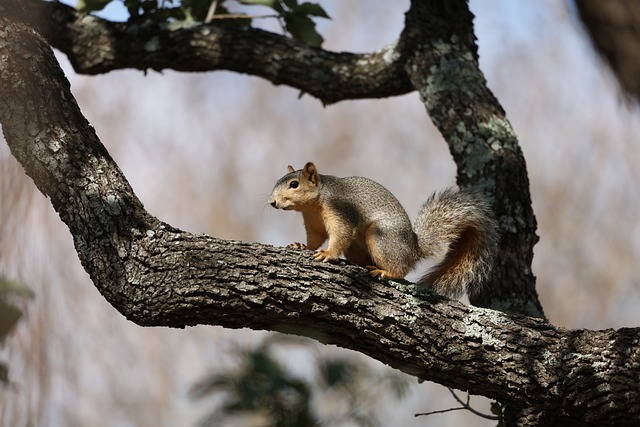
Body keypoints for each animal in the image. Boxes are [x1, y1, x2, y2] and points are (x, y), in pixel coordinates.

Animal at [268, 162, 498, 300]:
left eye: (294, 184)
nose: (272, 202)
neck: (314, 205)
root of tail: (413, 249)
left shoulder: (342, 211)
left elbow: (341, 233)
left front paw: (328, 253)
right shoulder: (313, 223)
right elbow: (315, 238)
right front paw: (303, 246)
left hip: (381, 237)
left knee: (401, 269)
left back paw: (385, 272)